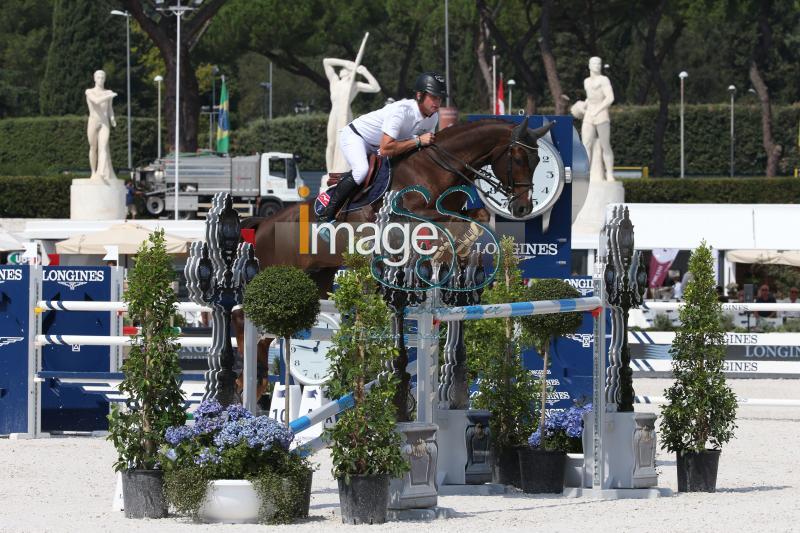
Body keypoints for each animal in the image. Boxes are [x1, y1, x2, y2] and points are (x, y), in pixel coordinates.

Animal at [234, 116, 552, 400]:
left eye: (538, 160)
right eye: (519, 158)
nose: (523, 208)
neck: (437, 168)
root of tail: (264, 223)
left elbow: (476, 216)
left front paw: (457, 248)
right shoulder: (413, 214)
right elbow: (442, 223)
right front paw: (443, 249)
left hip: (317, 279)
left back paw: (256, 382)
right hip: (278, 276)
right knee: (245, 319)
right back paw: (250, 381)